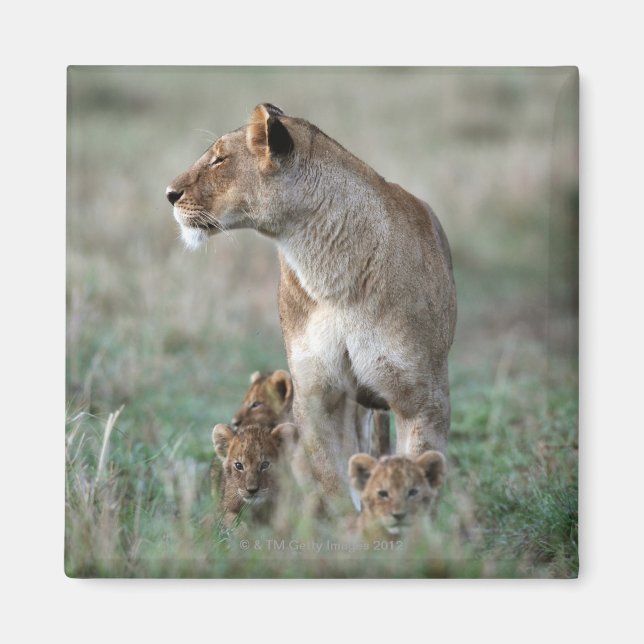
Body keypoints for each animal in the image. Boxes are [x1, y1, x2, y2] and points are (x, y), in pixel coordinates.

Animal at [167, 103, 456, 512]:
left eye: (220, 159)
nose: (169, 194)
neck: (330, 271)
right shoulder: (319, 397)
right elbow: (335, 485)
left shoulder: (422, 401)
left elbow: (417, 476)